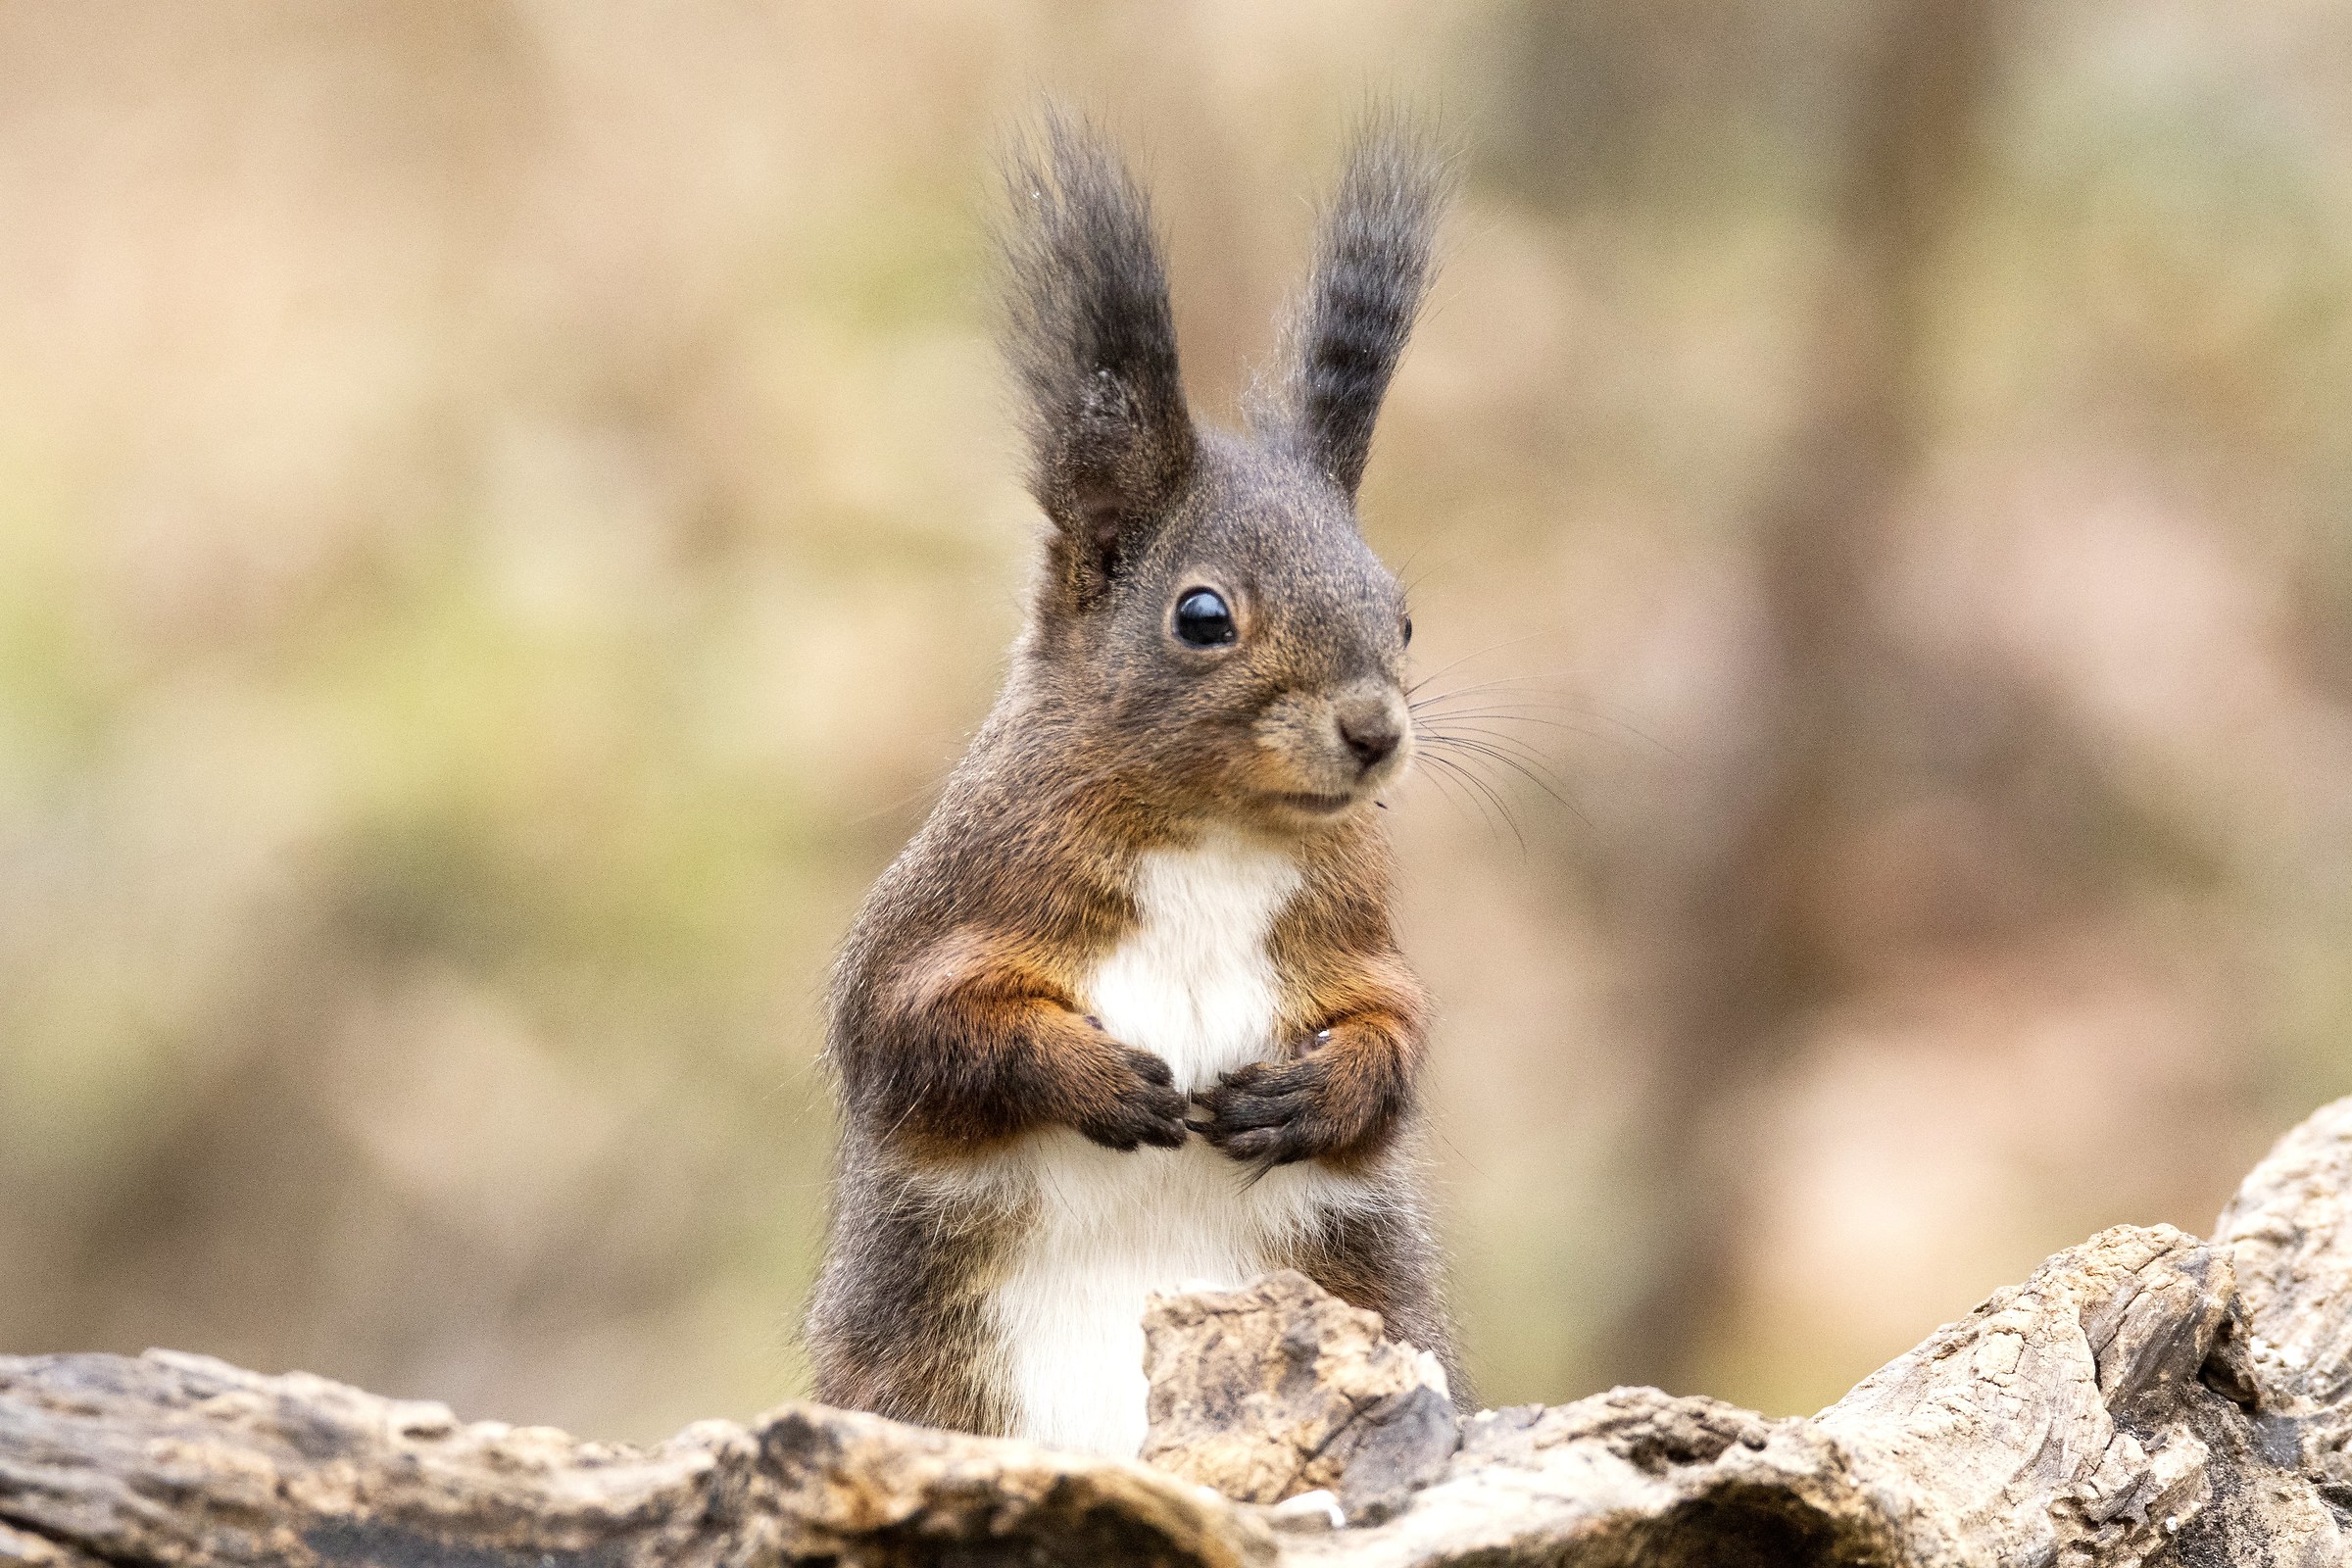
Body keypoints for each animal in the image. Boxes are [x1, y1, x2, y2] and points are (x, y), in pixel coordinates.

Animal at [804, 111, 1462, 1460]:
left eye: (1404, 616)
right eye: (1202, 616)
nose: (1375, 731)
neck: (1215, 840)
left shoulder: (1355, 938)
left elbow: (1398, 1038)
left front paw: (1315, 1094)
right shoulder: (946, 911)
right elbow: (920, 1029)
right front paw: (1094, 1078)